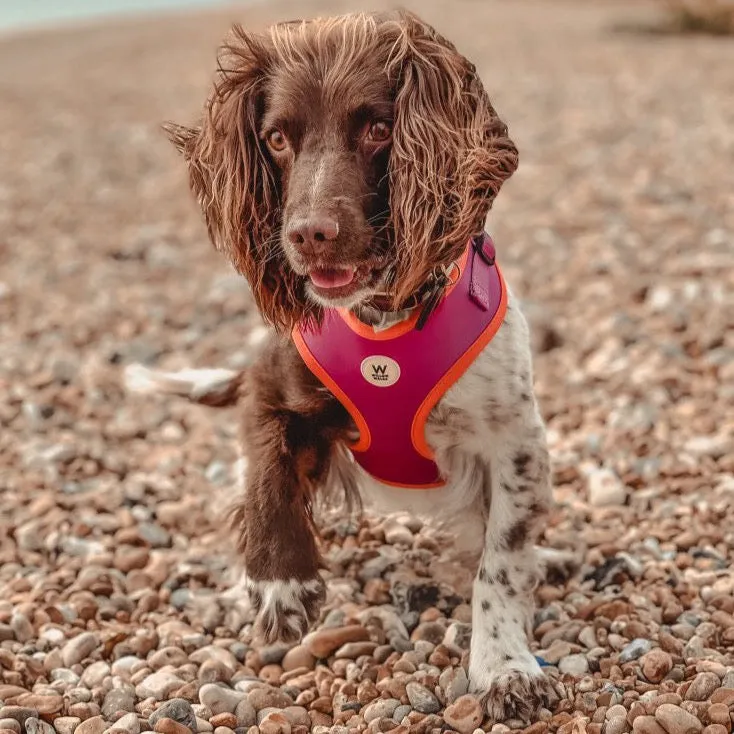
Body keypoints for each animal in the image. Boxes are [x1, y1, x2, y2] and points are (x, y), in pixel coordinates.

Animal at [126, 10, 564, 724]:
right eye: (277, 137)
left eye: (378, 129)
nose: (309, 234)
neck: (383, 315)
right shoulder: (272, 387)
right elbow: (268, 478)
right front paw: (281, 584)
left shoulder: (516, 440)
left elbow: (500, 562)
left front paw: (503, 666)